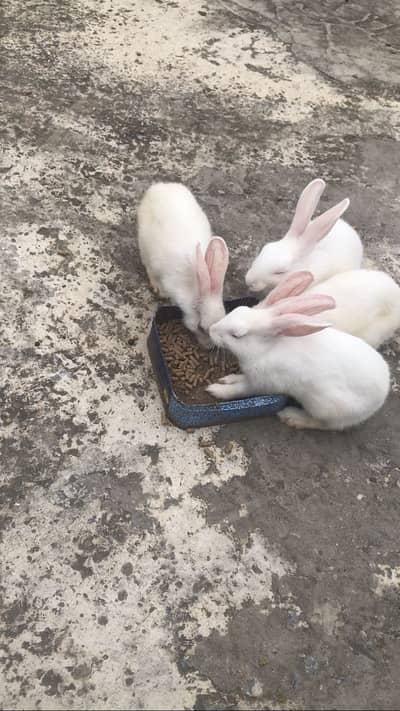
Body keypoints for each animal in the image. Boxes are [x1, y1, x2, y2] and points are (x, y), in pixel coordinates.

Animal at [207, 271, 390, 431]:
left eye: (237, 335)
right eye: (238, 310)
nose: (211, 330)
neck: (267, 349)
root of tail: (382, 396)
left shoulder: (261, 384)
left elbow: (239, 390)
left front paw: (216, 390)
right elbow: (237, 379)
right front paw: (227, 379)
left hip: (323, 406)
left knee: (325, 425)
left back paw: (292, 417)